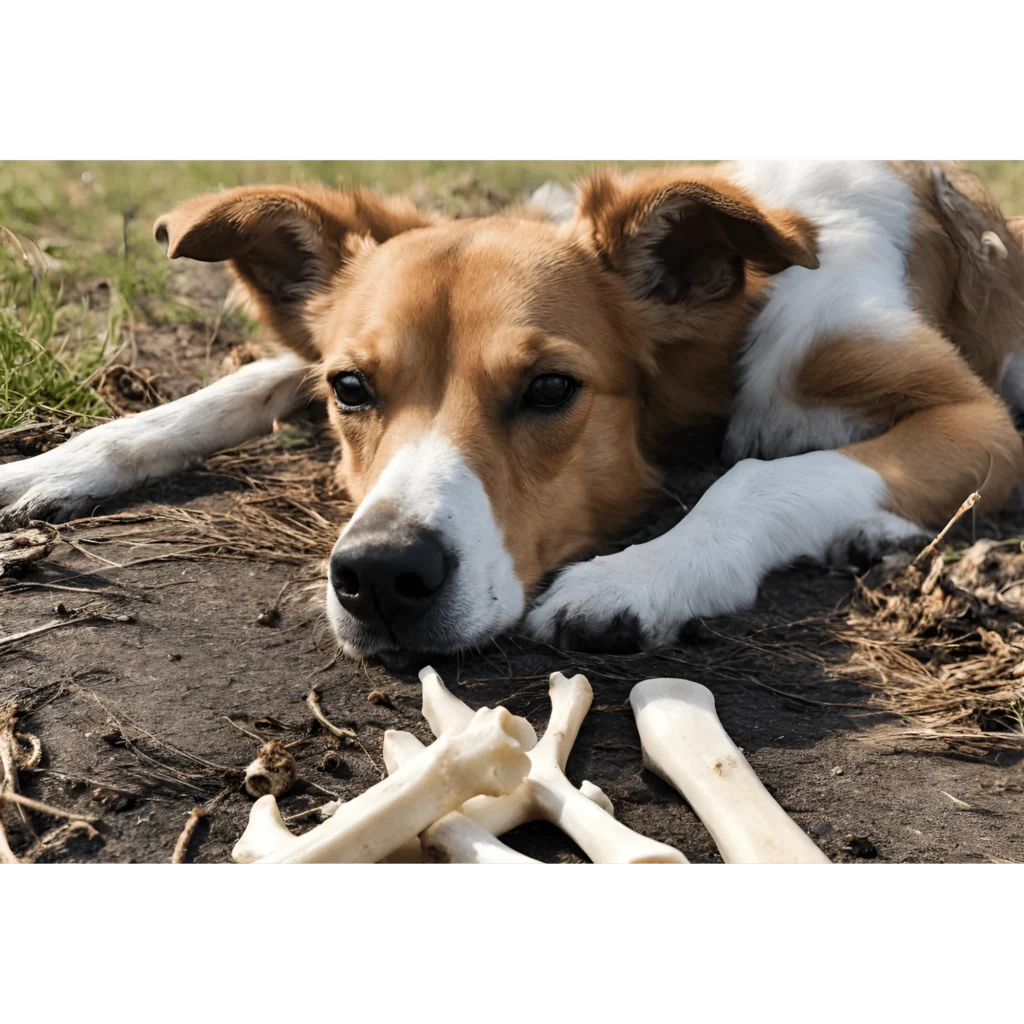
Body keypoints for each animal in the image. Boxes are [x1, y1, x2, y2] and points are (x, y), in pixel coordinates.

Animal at [2, 155, 1024, 659]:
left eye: (550, 389)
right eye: (351, 388)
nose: (381, 576)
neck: (744, 310)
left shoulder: (977, 424)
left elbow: (755, 478)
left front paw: (639, 576)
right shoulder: (309, 360)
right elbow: (240, 381)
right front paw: (52, 464)